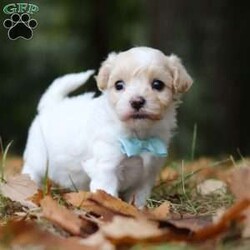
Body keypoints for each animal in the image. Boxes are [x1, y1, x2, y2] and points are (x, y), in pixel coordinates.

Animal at [22, 46, 193, 207]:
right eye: (119, 85)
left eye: (158, 84)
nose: (137, 101)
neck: (138, 137)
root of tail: (51, 105)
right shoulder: (106, 167)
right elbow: (107, 191)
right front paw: (110, 207)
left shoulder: (147, 175)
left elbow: (139, 197)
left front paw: (139, 211)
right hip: (37, 158)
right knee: (30, 172)